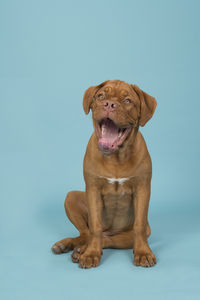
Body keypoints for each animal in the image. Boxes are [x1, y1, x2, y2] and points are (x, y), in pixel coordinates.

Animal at [52, 79, 158, 268]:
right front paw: (91, 254)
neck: (116, 158)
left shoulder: (143, 188)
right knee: (87, 233)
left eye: (127, 100)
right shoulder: (93, 189)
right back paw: (70, 245)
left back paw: (80, 250)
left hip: (137, 233)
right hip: (71, 197)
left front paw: (143, 253)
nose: (109, 104)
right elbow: (95, 226)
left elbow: (138, 225)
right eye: (101, 96)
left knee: (110, 240)